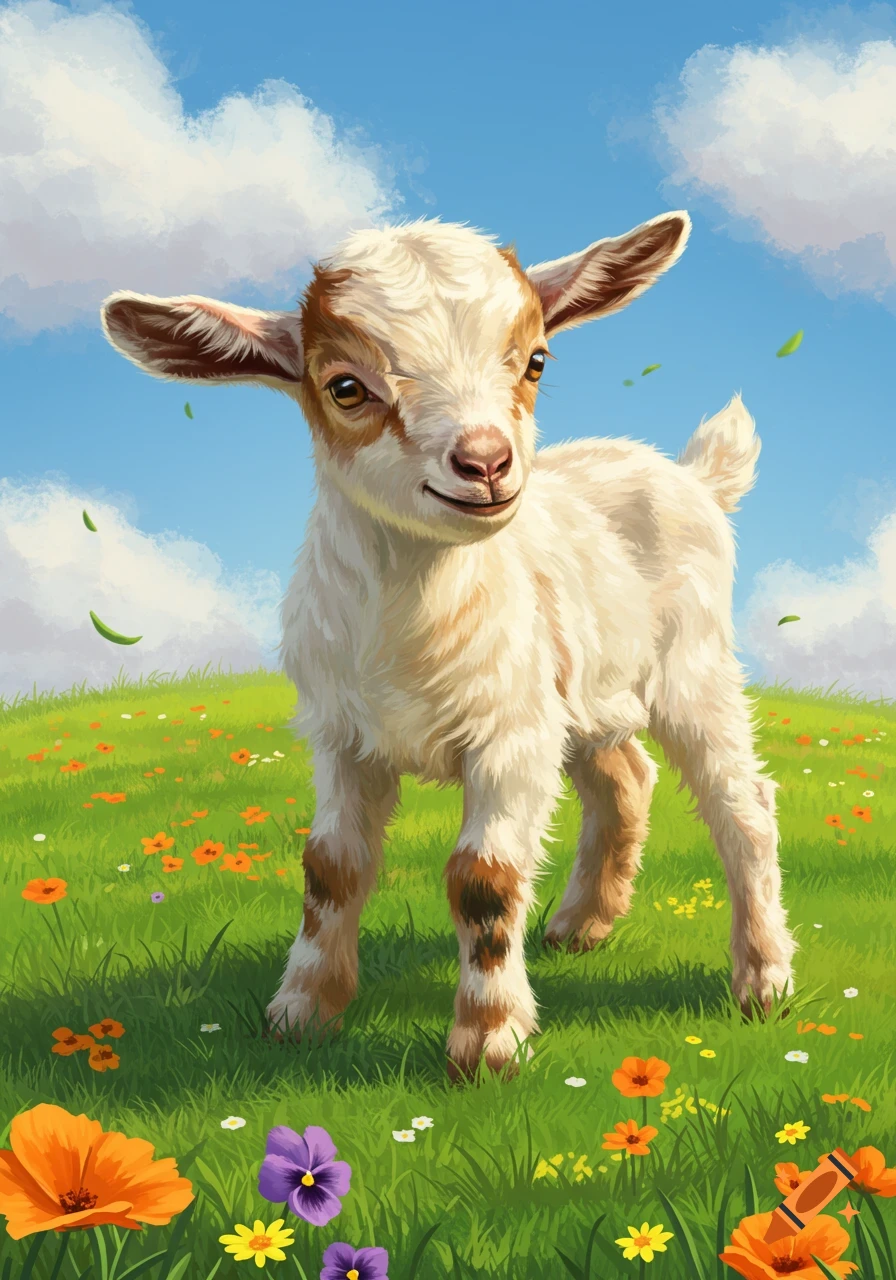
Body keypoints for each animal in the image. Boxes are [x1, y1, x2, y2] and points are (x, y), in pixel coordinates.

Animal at [101, 210, 796, 1079]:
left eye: (535, 361)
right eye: (346, 387)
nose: (487, 463)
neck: (413, 622)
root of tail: (693, 476)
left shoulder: (510, 736)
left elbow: (484, 881)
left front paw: (489, 1041)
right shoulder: (343, 737)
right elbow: (330, 868)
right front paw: (302, 1011)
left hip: (692, 671)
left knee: (744, 806)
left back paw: (763, 978)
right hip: (581, 693)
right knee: (624, 779)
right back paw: (581, 926)